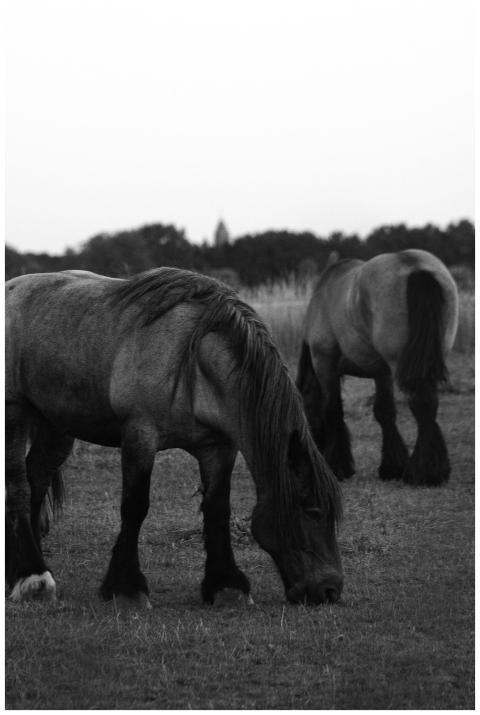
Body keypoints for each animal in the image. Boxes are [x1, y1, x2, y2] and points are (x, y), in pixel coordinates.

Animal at [6, 267, 343, 607]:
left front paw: (226, 584)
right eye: (313, 511)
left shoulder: (219, 447)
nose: (330, 590)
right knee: (18, 487)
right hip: (15, 414)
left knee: (37, 480)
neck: (195, 365)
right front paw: (127, 587)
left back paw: (22, 568)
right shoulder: (140, 436)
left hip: (56, 426)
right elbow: (135, 506)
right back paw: (33, 577)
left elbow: (218, 508)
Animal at [296, 249, 459, 486]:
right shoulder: (382, 373)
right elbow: (385, 412)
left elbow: (333, 409)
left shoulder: (324, 363)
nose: (310, 449)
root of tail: (412, 264)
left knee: (421, 403)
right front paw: (392, 466)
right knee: (428, 404)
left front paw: (337, 466)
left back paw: (424, 473)